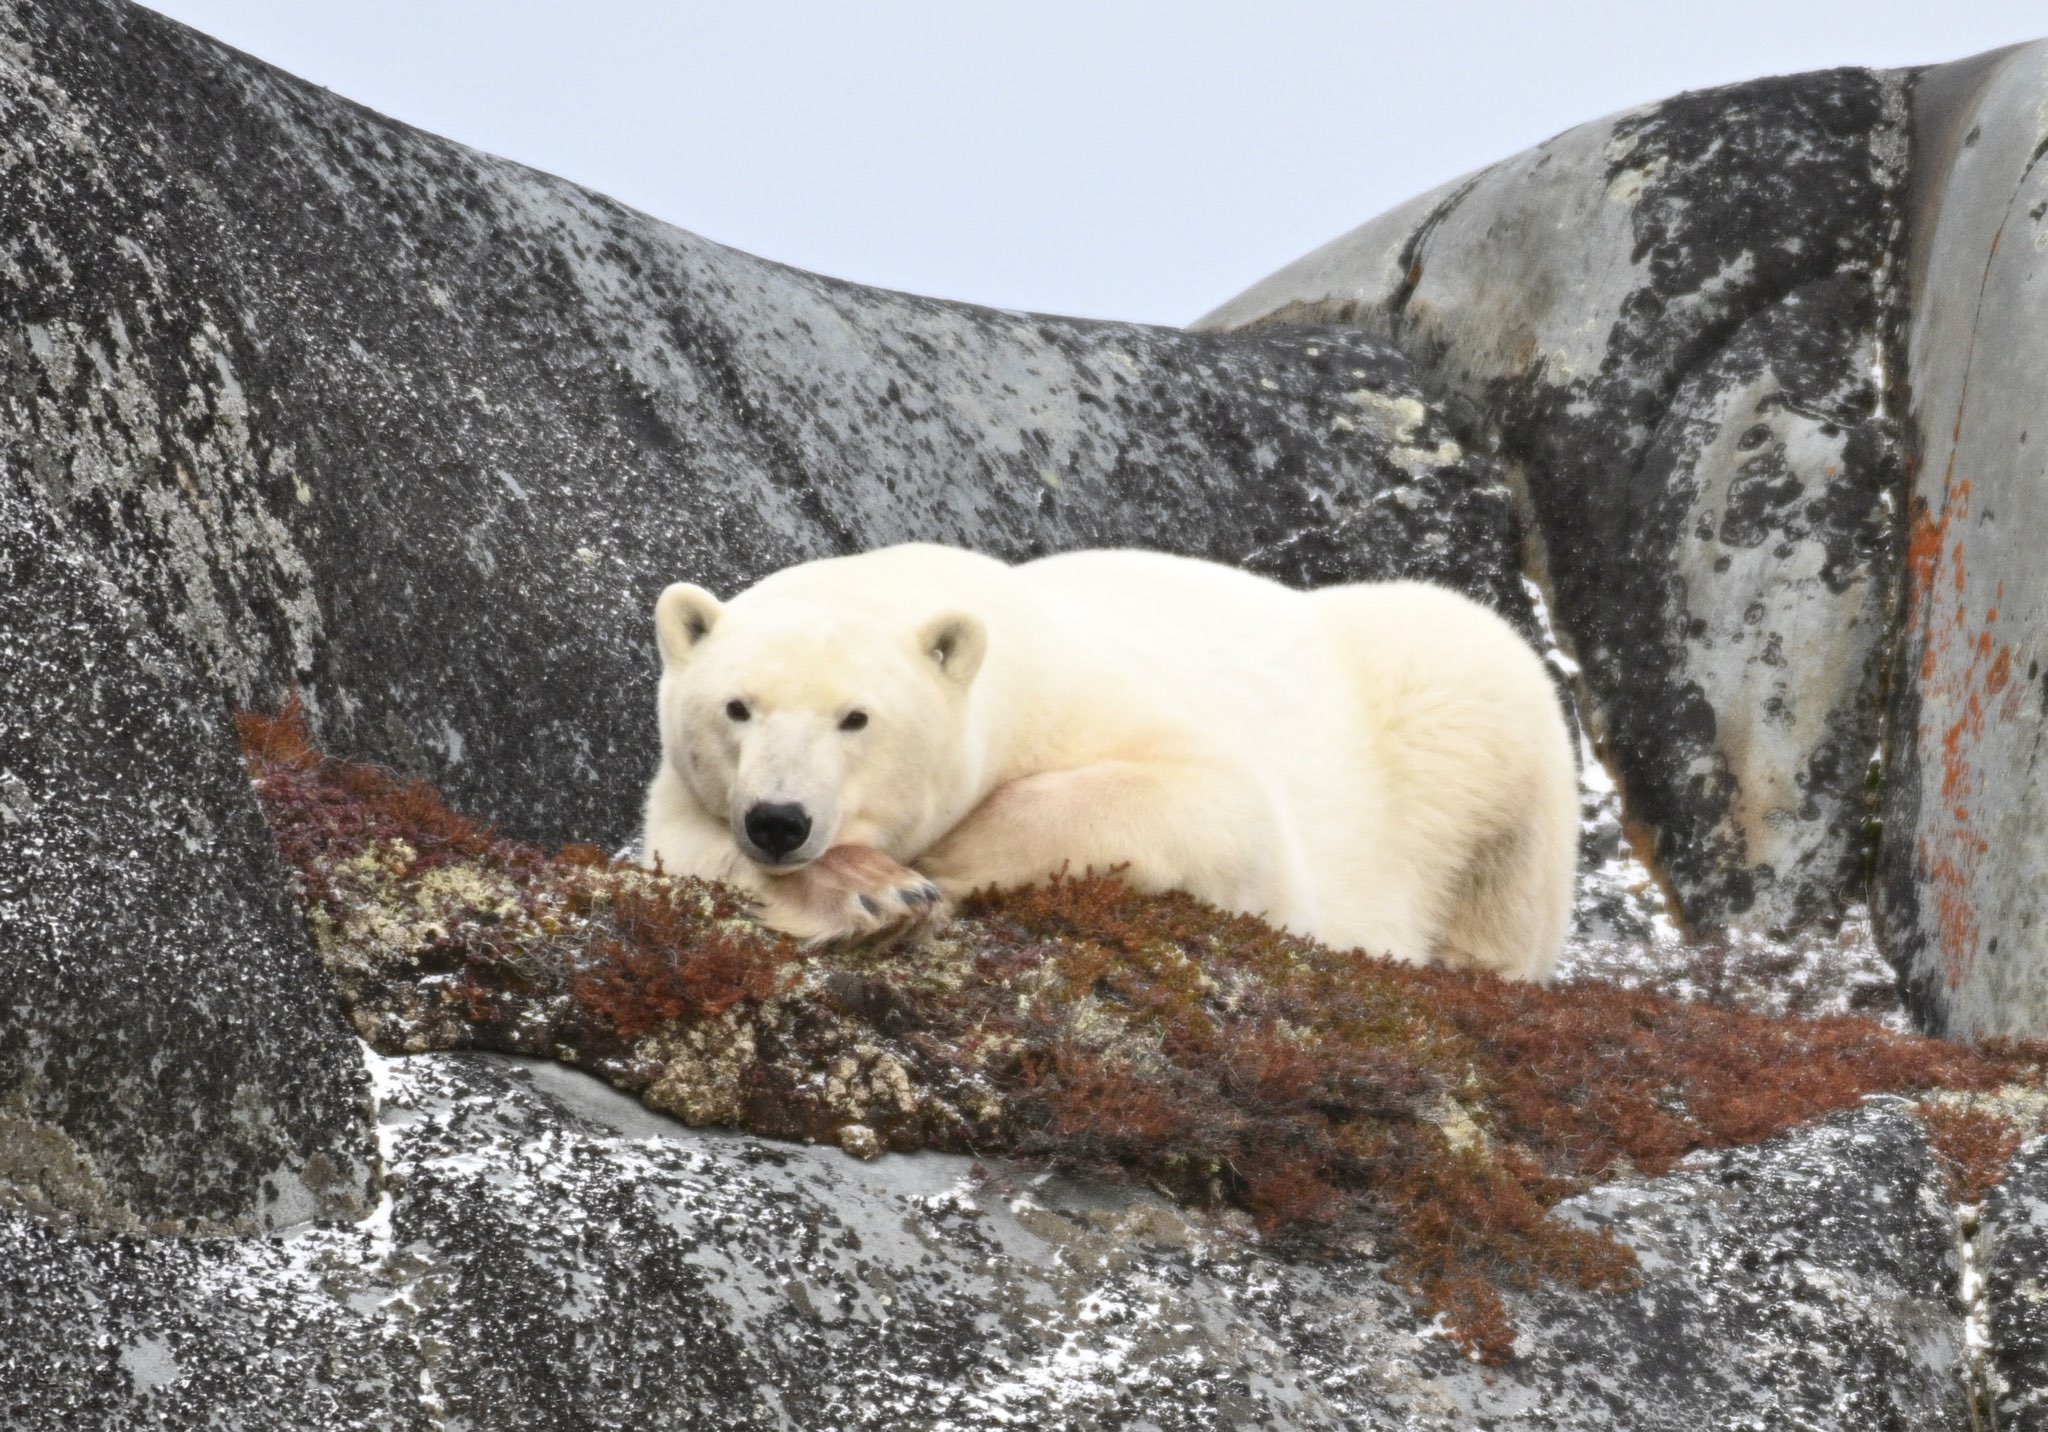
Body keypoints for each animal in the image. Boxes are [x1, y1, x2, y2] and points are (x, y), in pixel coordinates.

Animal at [641, 543, 1579, 980]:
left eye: (855, 718)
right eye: (737, 707)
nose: (778, 820)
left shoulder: (1085, 690)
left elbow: (1220, 804)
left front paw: (939, 865)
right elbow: (677, 845)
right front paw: (868, 889)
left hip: (1459, 706)